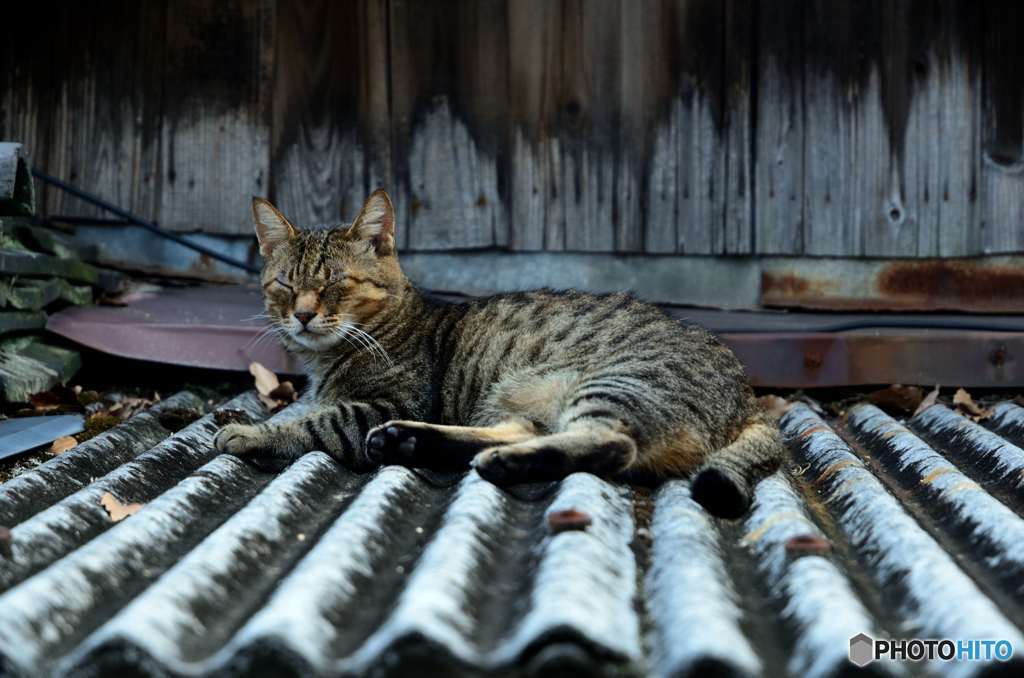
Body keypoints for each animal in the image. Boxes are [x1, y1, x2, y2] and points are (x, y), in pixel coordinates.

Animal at [211, 188, 778, 518]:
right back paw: (412, 442)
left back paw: (497, 461)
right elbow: (311, 412)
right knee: (522, 431)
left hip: (612, 384)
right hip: (517, 398)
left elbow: (313, 423)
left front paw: (250, 433)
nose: (303, 315)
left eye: (335, 284)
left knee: (610, 445)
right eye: (285, 285)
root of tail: (747, 399)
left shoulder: (383, 404)